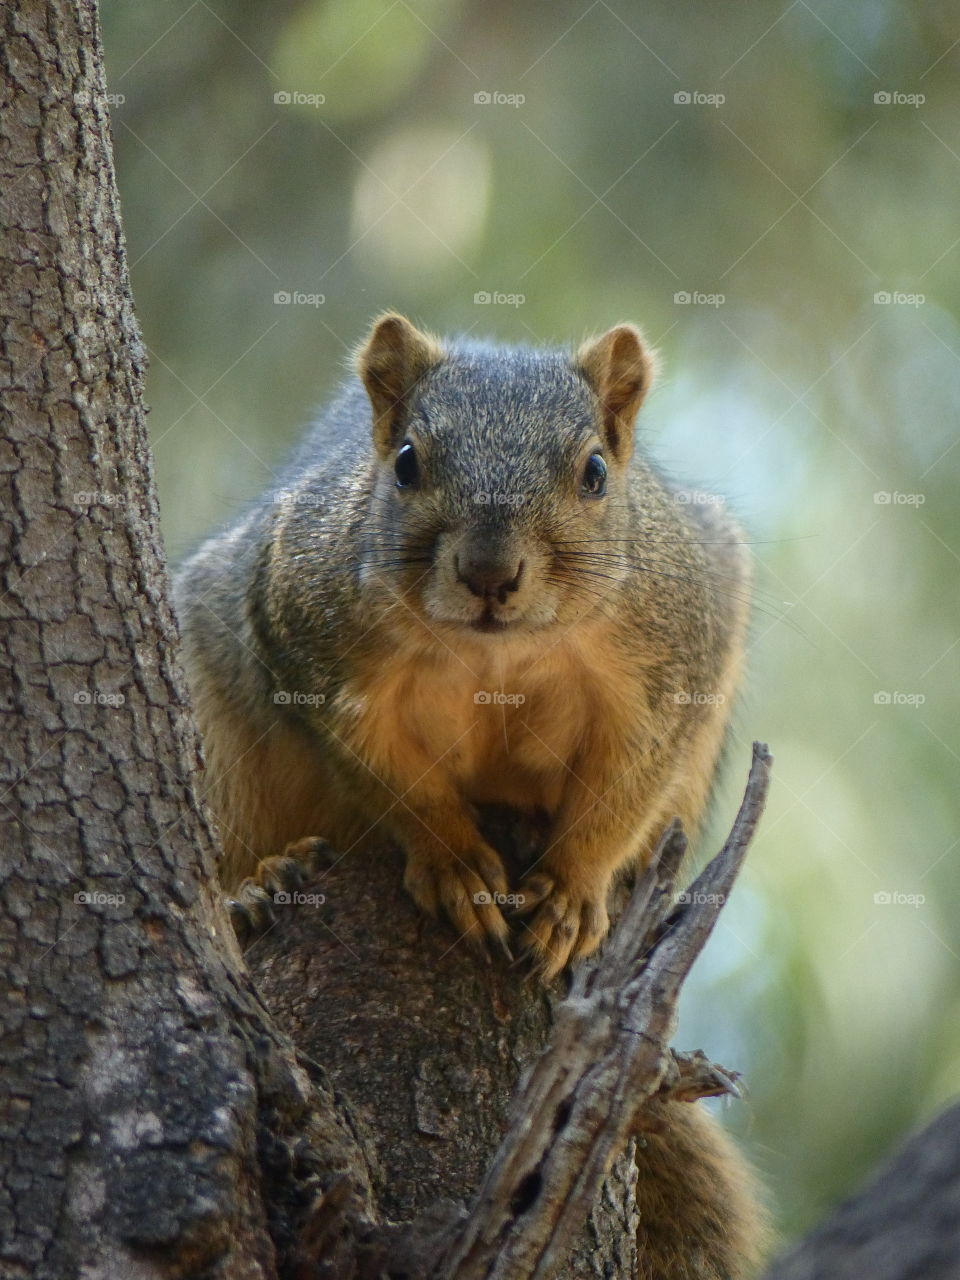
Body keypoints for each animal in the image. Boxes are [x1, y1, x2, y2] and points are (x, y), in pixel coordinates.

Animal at [176, 314, 773, 1274]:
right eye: (406, 462)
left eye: (595, 472)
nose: (490, 572)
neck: (500, 655)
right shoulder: (306, 637)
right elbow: (389, 784)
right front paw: (456, 865)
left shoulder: (678, 654)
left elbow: (627, 784)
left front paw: (570, 892)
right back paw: (258, 886)